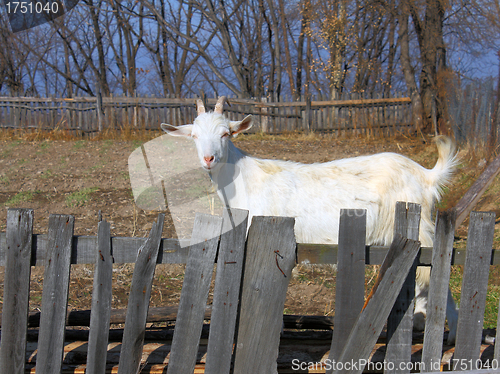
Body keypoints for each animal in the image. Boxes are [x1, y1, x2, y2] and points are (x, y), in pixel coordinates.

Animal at [162, 95, 458, 342]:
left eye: (225, 133)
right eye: (194, 136)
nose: (208, 158)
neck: (243, 180)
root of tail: (426, 175)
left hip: (419, 227)